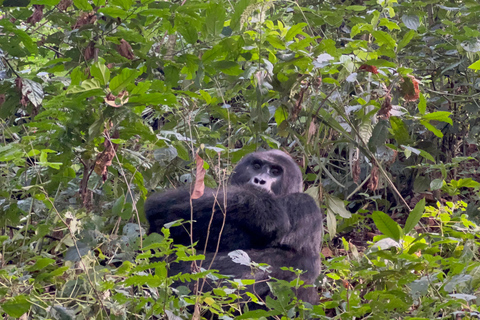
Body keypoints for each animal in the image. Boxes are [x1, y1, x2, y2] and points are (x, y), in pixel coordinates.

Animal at [143, 150, 322, 308]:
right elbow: (161, 209)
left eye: (275, 172)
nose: (259, 181)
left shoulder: (305, 204)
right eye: (256, 165)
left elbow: (298, 264)